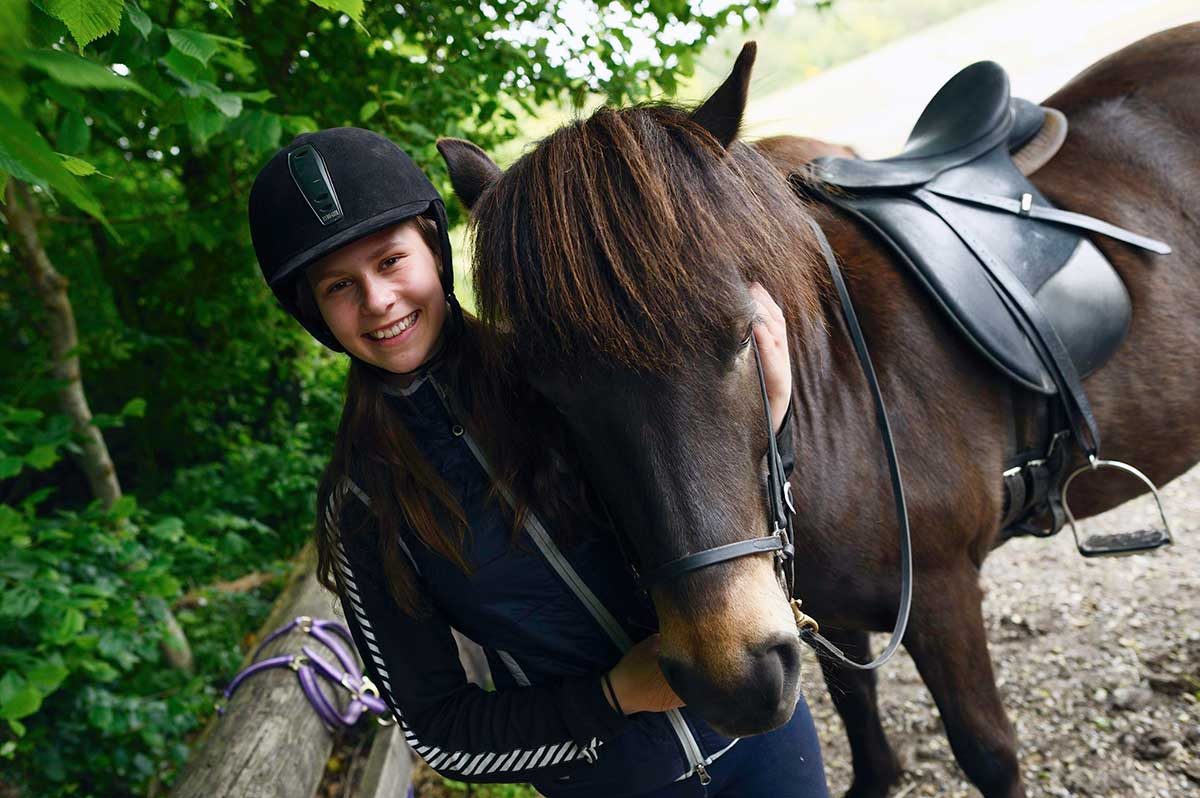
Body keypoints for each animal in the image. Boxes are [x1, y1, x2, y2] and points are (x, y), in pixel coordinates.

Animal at [439, 26, 1200, 796]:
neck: (842, 401)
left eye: (743, 335)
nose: (729, 680)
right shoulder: (824, 619)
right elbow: (861, 716)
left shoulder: (944, 597)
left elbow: (986, 751)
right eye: (543, 392)